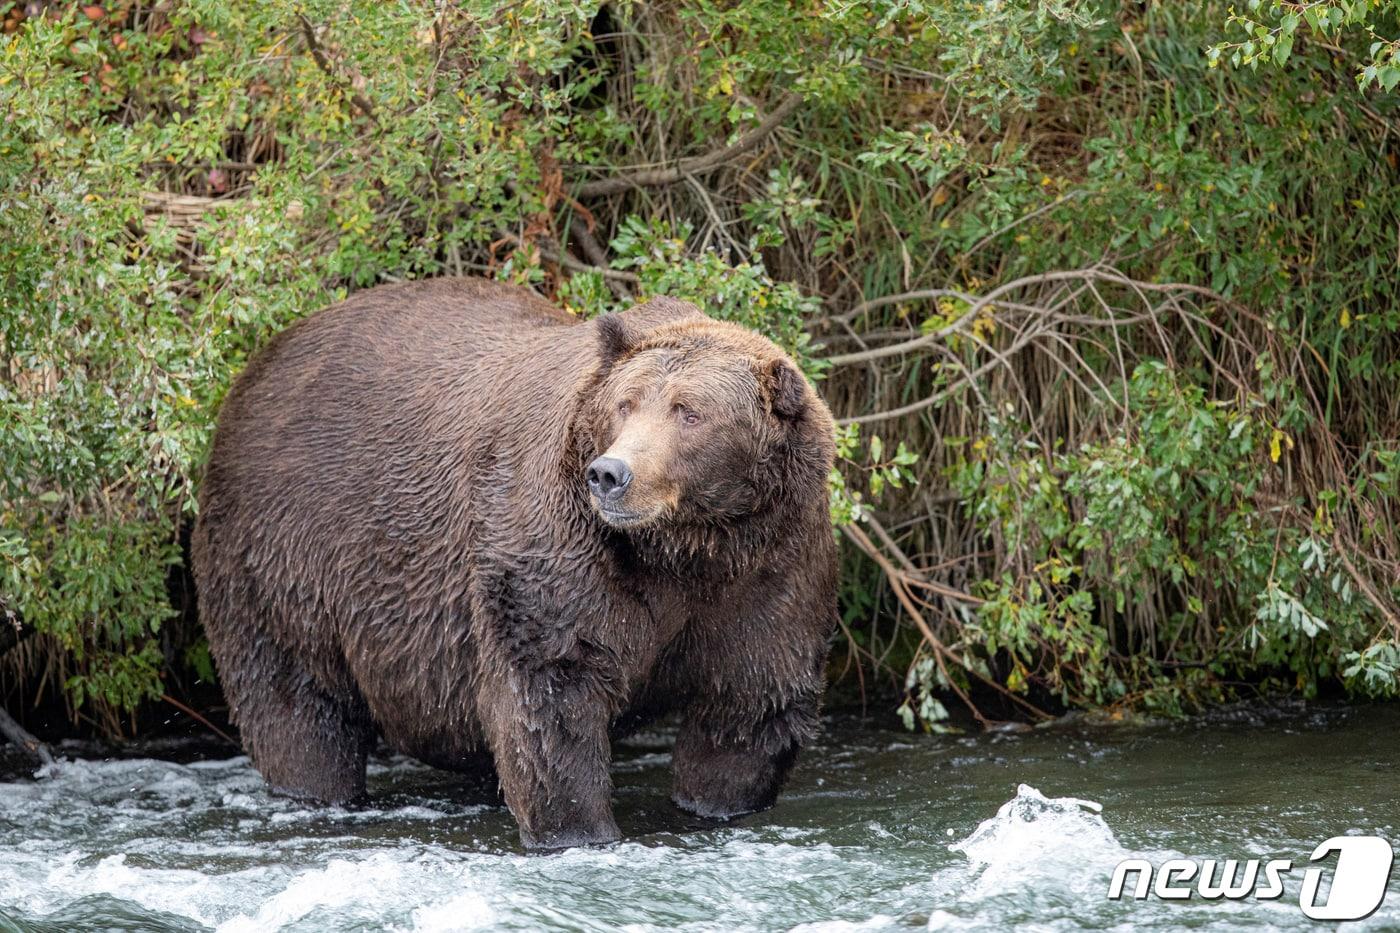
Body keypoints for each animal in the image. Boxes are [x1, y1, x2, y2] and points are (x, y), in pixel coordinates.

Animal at [191, 274, 834, 840]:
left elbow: (748, 706)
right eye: (625, 405)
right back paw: (315, 790)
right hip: (282, 557)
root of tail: (256, 367)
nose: (610, 474)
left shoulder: (771, 570)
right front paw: (580, 831)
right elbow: (552, 695)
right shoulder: (561, 550)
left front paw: (715, 804)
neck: (686, 549)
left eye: (690, 411)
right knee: (296, 703)